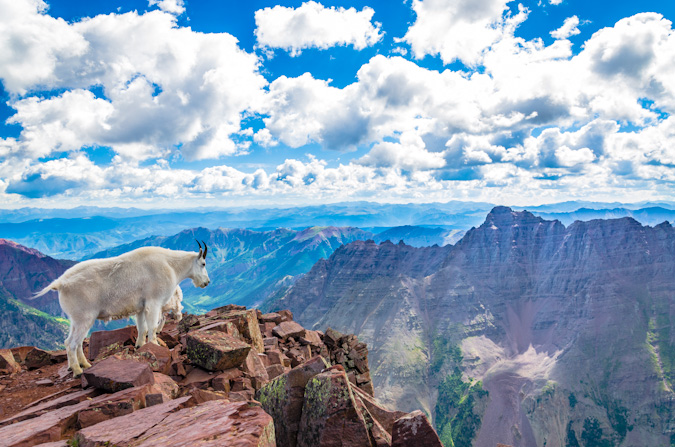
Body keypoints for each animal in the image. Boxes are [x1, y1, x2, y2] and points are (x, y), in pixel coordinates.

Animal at [31, 242, 210, 378]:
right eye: (203, 264)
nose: (206, 282)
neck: (171, 265)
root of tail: (61, 283)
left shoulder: (141, 307)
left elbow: (142, 328)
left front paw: (140, 346)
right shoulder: (154, 302)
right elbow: (152, 327)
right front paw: (155, 345)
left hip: (76, 319)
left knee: (76, 341)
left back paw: (85, 364)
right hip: (84, 317)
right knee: (71, 343)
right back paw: (77, 370)